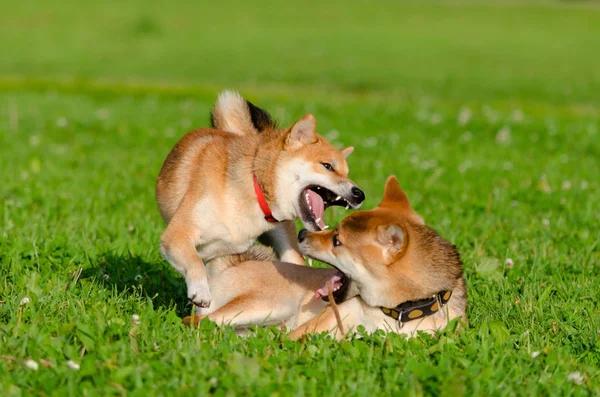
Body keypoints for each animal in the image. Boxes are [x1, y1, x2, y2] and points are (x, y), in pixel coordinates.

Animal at [157, 91, 364, 308]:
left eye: (347, 173)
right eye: (327, 166)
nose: (359, 194)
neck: (253, 187)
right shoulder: (177, 234)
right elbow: (195, 262)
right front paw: (201, 291)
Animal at [183, 177, 468, 340]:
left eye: (337, 241)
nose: (302, 232)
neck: (396, 312)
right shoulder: (312, 329)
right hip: (272, 304)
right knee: (196, 321)